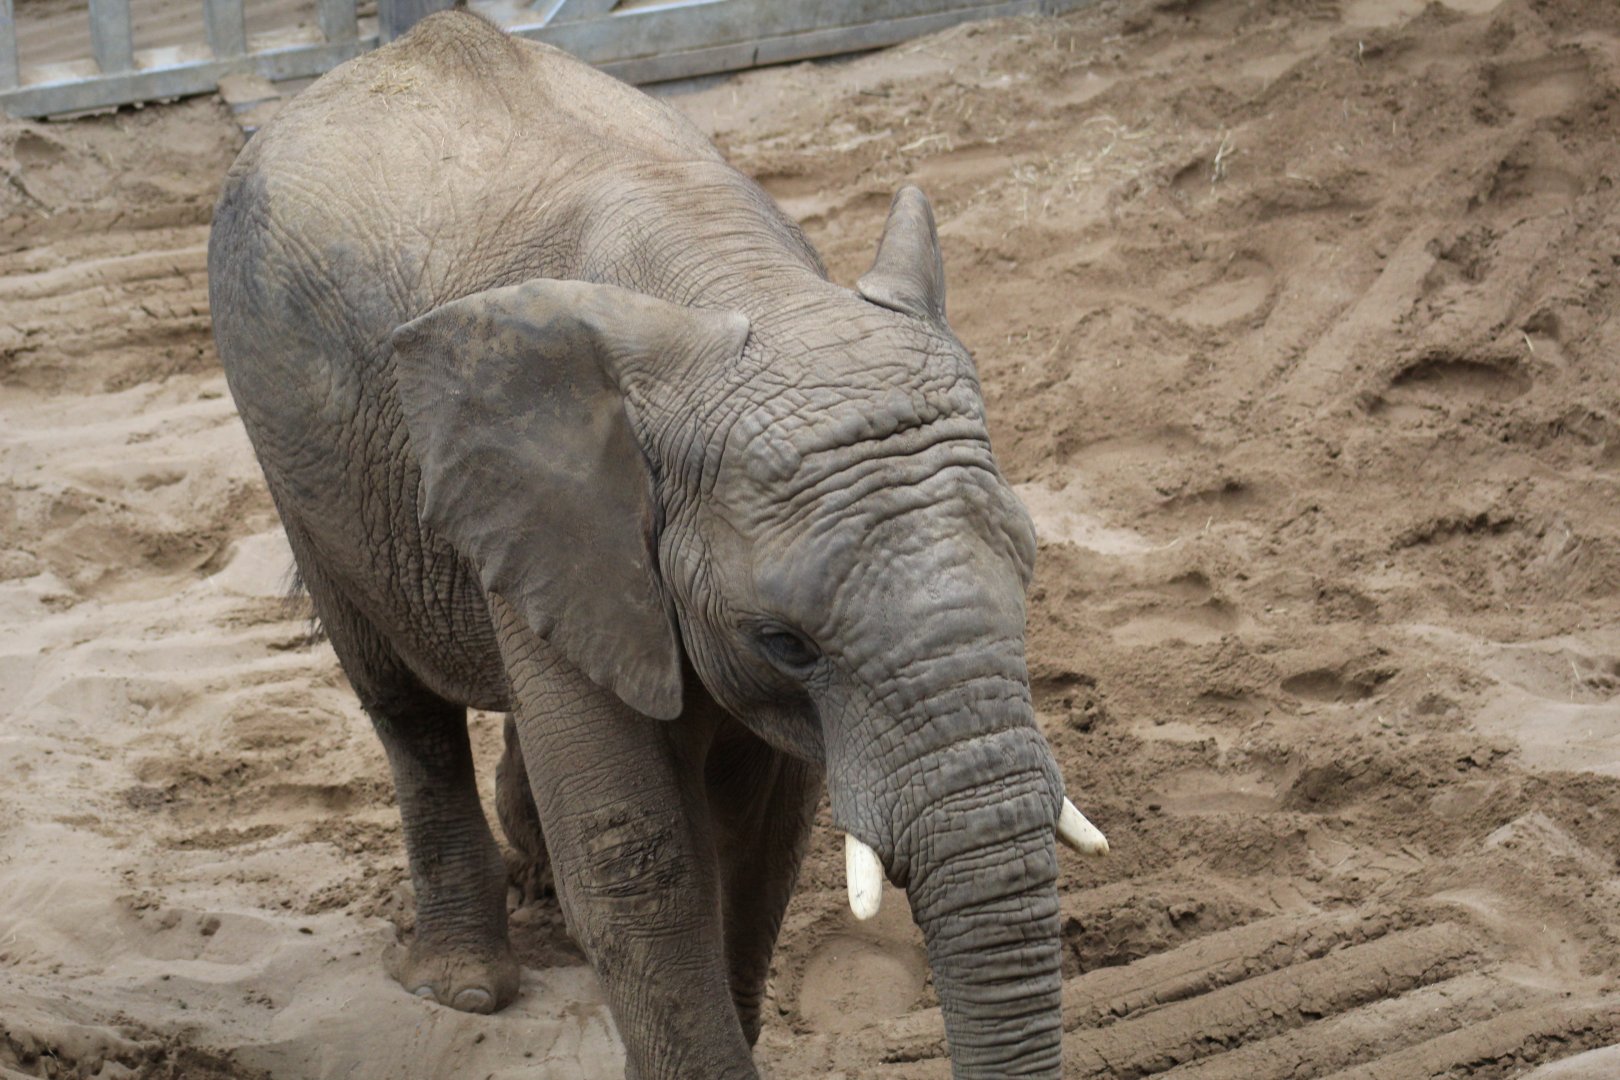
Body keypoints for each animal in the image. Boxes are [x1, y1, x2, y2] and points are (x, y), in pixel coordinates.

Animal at [206, 10, 1107, 1078]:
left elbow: (763, 836)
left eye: (1029, 576)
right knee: (403, 707)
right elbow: (636, 851)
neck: (737, 288)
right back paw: (464, 984)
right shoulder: (550, 503)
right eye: (784, 640)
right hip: (290, 449)